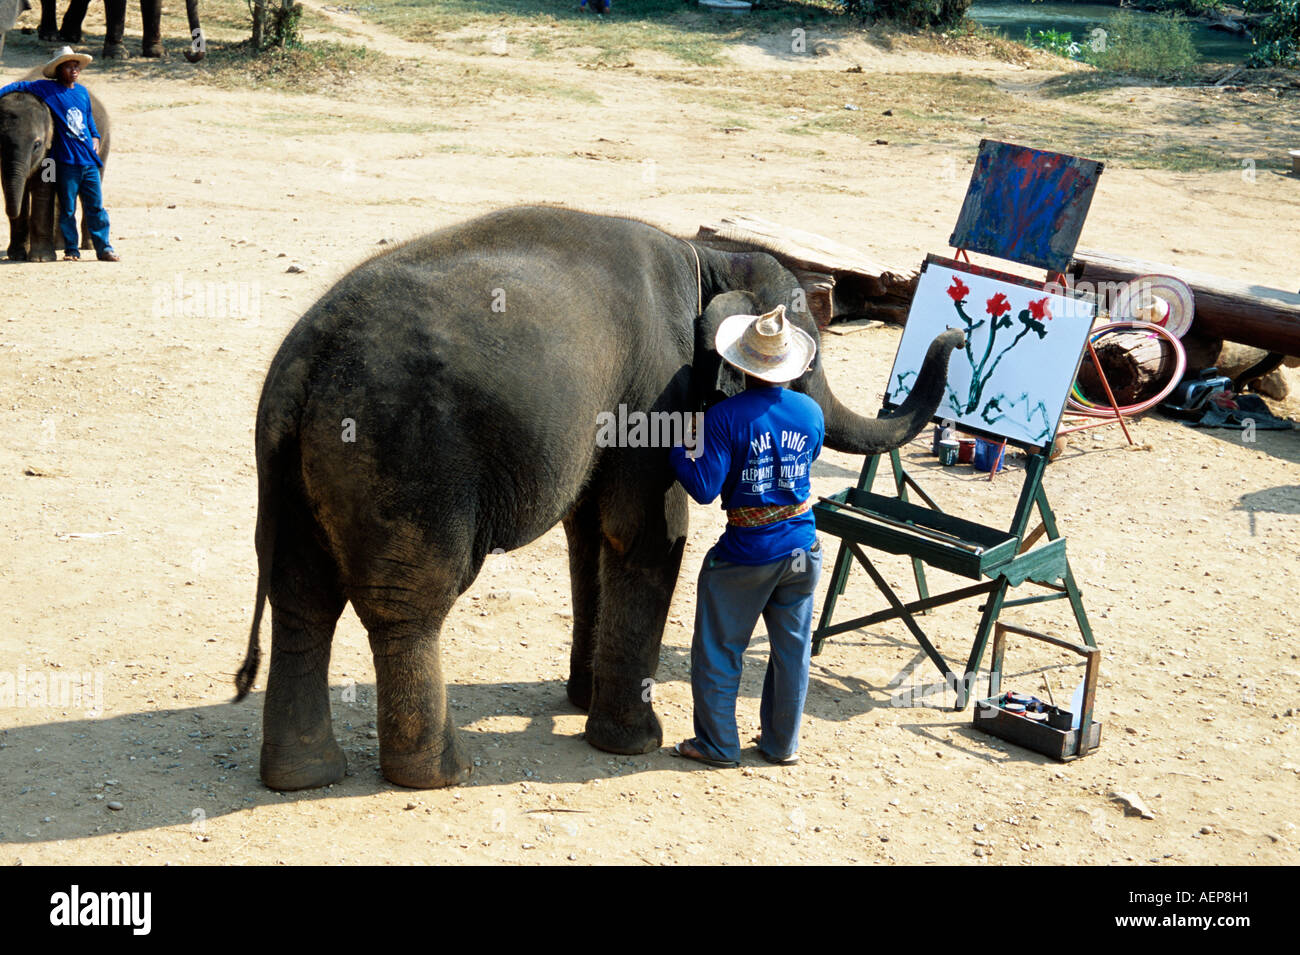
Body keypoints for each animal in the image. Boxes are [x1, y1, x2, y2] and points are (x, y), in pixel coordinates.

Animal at [233, 205, 963, 791]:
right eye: (809, 360)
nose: (955, 335)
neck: (707, 258)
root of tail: (300, 367)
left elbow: (589, 534)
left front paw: (578, 702)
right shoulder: (656, 388)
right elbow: (648, 531)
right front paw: (635, 740)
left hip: (294, 473)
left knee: (302, 598)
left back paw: (302, 776)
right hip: (405, 454)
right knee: (408, 602)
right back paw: (440, 772)